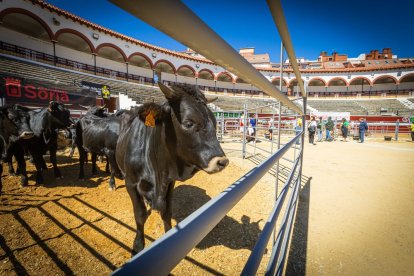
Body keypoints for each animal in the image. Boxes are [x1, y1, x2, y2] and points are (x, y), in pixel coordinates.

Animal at [115, 82, 228, 254]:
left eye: (215, 123)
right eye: (189, 123)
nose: (222, 161)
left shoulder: (169, 182)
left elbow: (167, 212)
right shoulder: (131, 183)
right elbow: (140, 214)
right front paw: (138, 245)